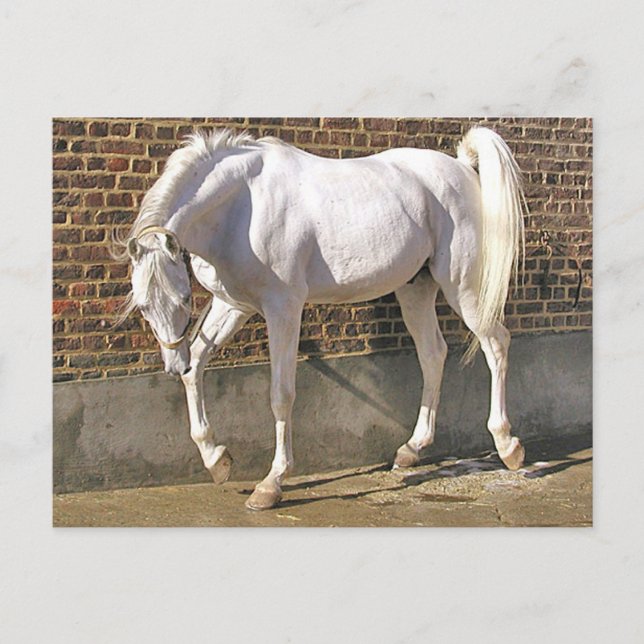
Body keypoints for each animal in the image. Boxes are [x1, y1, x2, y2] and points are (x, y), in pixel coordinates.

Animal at [115, 126, 527, 510]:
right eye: (143, 306)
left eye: (184, 297)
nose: (172, 363)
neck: (242, 206)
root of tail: (462, 167)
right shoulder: (232, 304)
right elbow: (197, 367)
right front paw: (217, 459)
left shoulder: (283, 308)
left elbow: (281, 393)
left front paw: (271, 485)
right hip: (415, 289)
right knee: (433, 355)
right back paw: (411, 449)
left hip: (464, 288)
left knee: (496, 345)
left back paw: (508, 446)